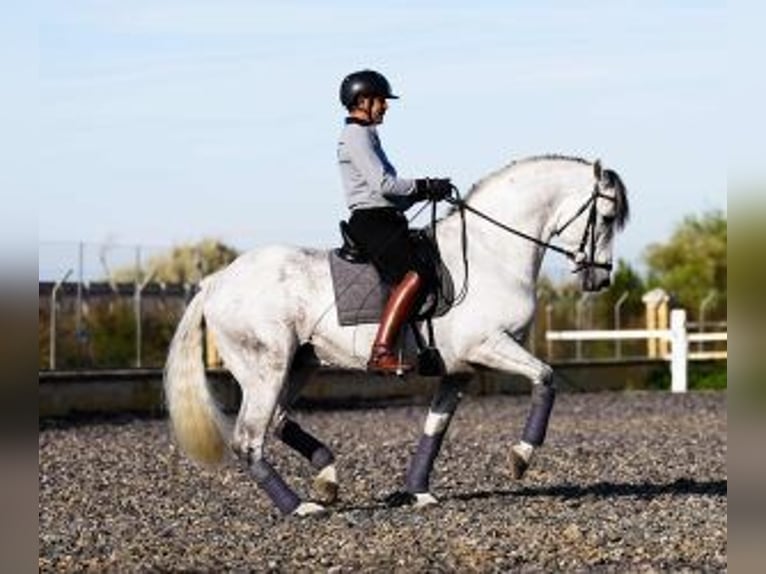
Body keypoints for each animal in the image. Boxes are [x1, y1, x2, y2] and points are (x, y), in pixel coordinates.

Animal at [162, 153, 632, 516]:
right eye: (607, 218)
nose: (601, 280)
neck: (490, 252)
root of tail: (215, 282)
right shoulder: (490, 345)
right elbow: (546, 378)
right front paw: (520, 458)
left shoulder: (458, 369)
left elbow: (435, 428)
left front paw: (418, 491)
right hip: (267, 367)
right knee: (249, 438)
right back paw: (299, 506)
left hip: (297, 365)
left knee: (275, 421)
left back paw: (327, 476)